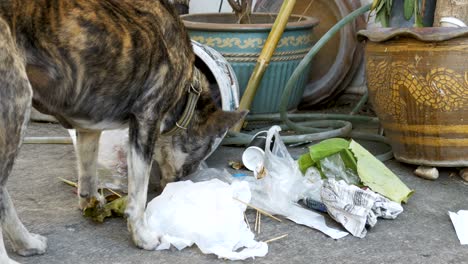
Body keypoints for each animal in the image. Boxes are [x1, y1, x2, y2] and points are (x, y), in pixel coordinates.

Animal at [0, 0, 245, 262]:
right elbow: (138, 196)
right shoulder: (146, 118)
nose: (177, 183)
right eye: (194, 161)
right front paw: (142, 236)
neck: (187, 92)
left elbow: (88, 171)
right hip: (17, 108)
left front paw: (91, 201)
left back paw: (26, 242)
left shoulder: (88, 125)